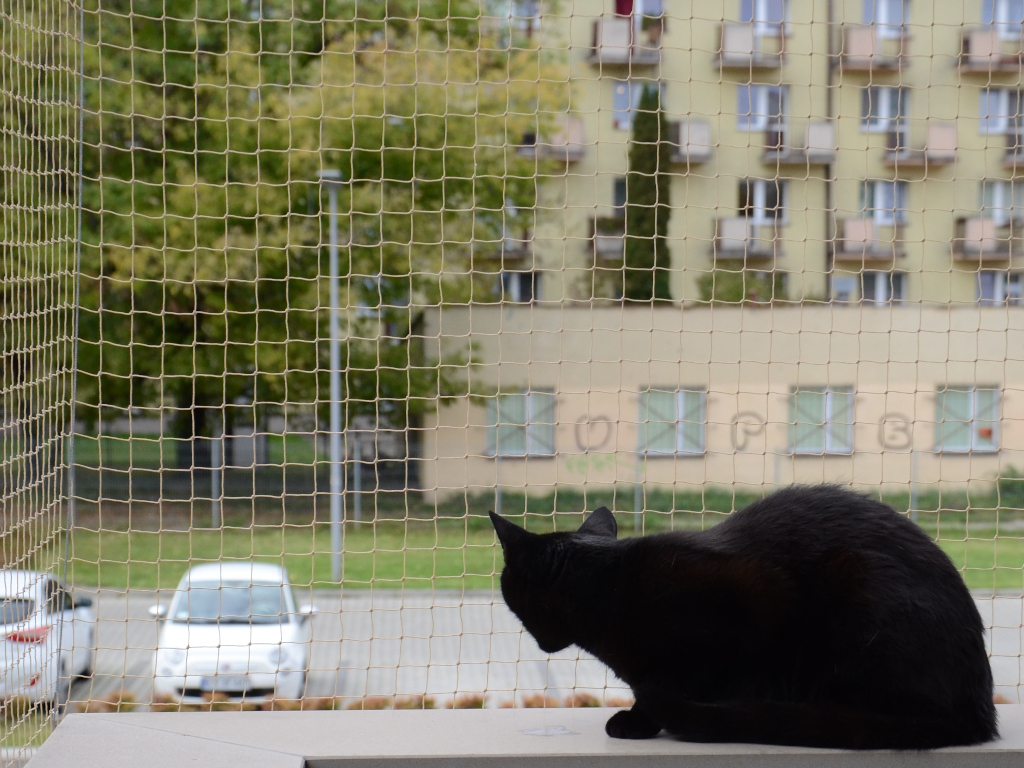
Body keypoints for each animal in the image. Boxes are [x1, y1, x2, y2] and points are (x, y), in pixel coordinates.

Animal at [491, 487, 995, 753]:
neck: (607, 592)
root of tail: (979, 708)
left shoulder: (751, 599)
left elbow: (688, 680)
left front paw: (641, 719)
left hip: (856, 589)